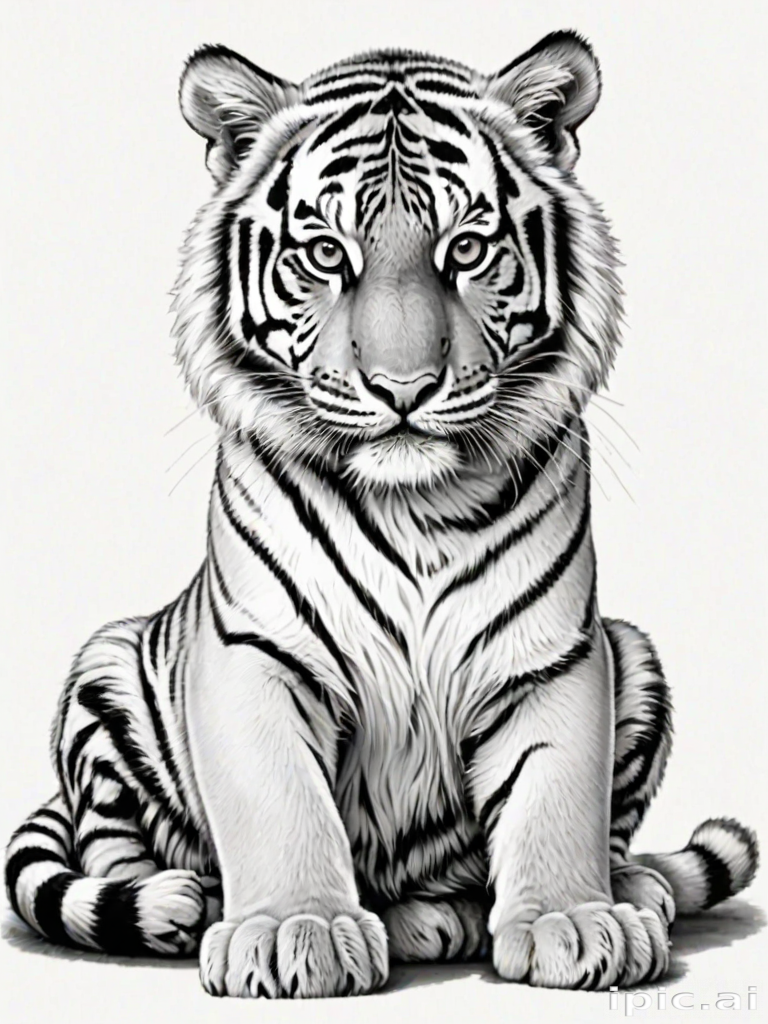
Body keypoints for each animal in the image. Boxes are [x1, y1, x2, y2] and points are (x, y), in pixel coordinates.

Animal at [5, 30, 758, 999]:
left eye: (466, 248)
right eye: (328, 255)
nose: (404, 388)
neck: (416, 510)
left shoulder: (552, 653)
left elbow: (555, 789)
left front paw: (572, 920)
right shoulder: (257, 650)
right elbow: (280, 798)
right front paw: (295, 930)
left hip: (638, 651)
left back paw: (577, 895)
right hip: (102, 674)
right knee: (113, 851)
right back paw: (189, 904)